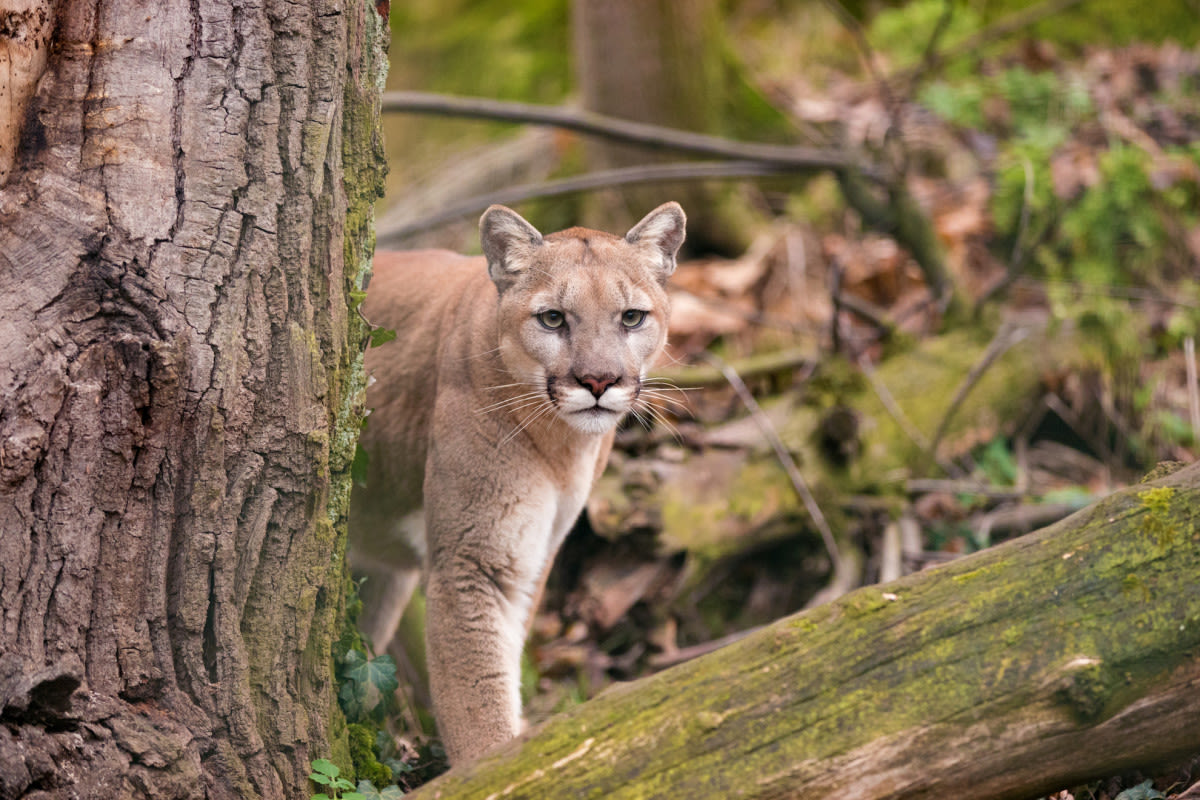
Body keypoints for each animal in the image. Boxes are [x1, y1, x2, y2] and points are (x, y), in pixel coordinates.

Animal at [348, 200, 686, 762]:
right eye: (552, 318)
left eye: (631, 317)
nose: (599, 382)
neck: (564, 447)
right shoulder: (474, 558)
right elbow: (477, 692)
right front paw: (493, 767)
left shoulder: (533, 555)